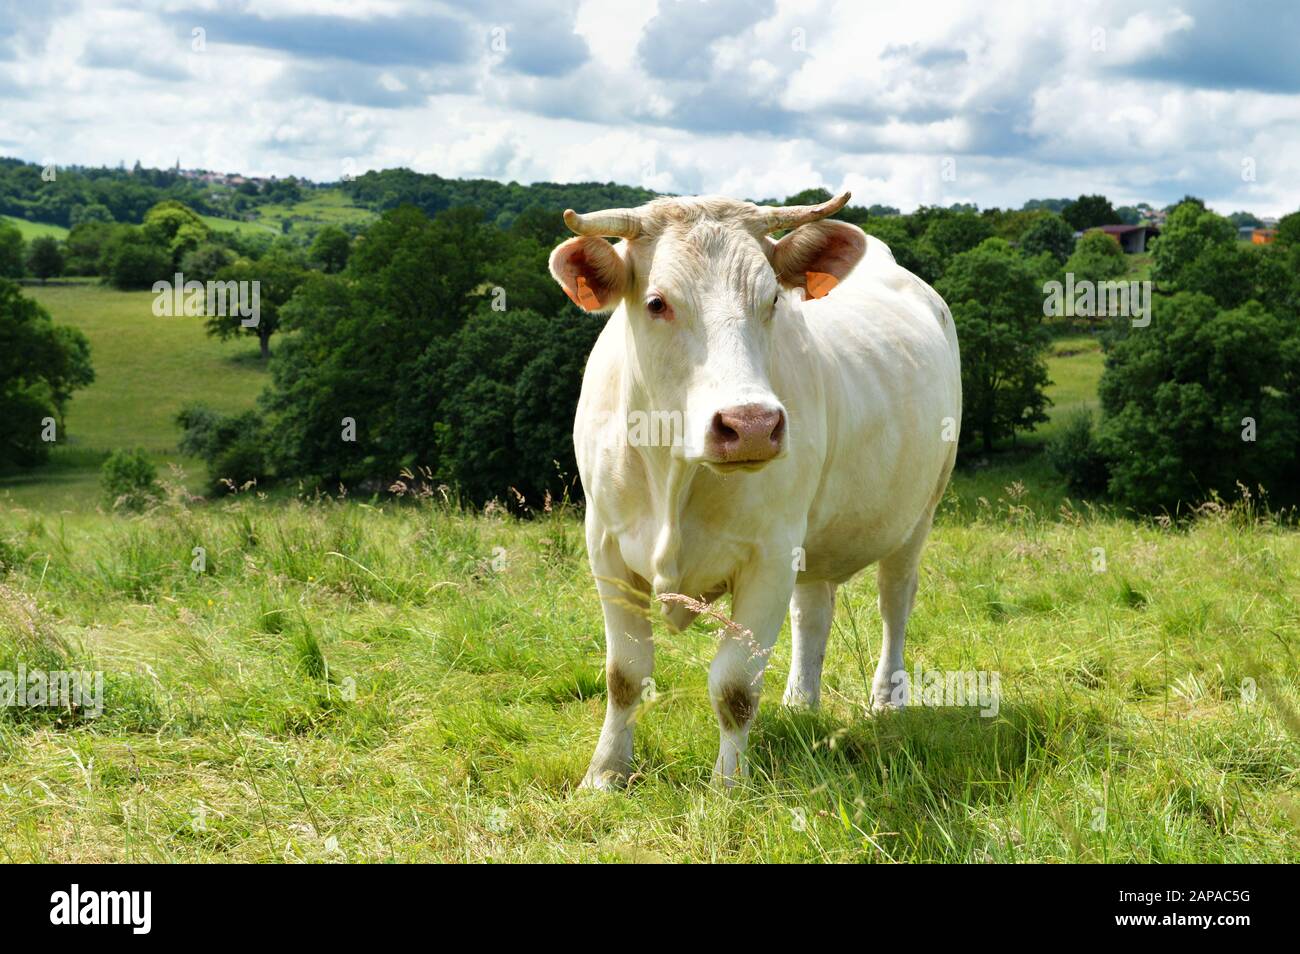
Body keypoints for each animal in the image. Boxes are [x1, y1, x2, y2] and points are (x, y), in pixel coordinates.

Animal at [548, 191, 961, 788]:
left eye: (772, 301)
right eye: (656, 303)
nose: (751, 424)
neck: (674, 474)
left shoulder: (768, 554)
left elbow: (735, 686)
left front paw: (728, 787)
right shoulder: (605, 545)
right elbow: (624, 674)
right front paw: (604, 776)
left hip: (917, 513)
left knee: (895, 602)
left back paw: (887, 700)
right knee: (812, 611)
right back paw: (800, 703)